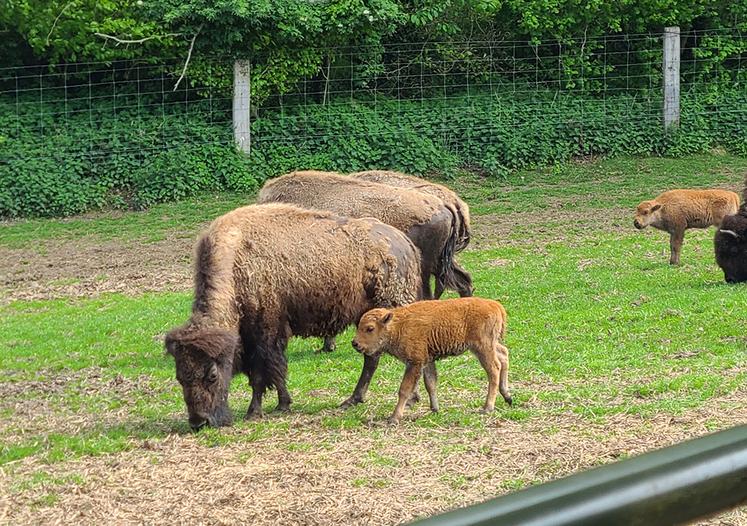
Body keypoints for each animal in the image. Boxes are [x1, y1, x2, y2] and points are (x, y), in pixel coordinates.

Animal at [354, 296, 512, 424]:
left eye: (370, 328)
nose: (355, 343)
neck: (397, 325)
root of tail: (495, 305)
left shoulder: (415, 363)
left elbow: (404, 389)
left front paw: (394, 418)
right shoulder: (427, 361)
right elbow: (430, 383)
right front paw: (435, 408)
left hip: (483, 348)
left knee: (494, 369)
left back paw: (487, 407)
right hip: (489, 345)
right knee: (504, 354)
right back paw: (507, 396)